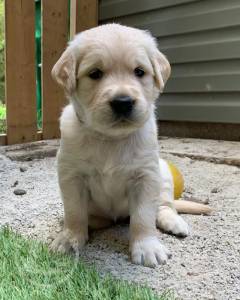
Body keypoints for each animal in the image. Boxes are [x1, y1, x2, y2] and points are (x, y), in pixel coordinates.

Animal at [51, 24, 210, 268]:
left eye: (139, 71)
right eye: (95, 74)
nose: (123, 102)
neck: (111, 138)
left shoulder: (146, 176)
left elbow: (143, 216)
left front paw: (146, 247)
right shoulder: (71, 175)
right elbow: (74, 211)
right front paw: (70, 239)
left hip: (163, 172)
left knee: (165, 206)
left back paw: (174, 222)